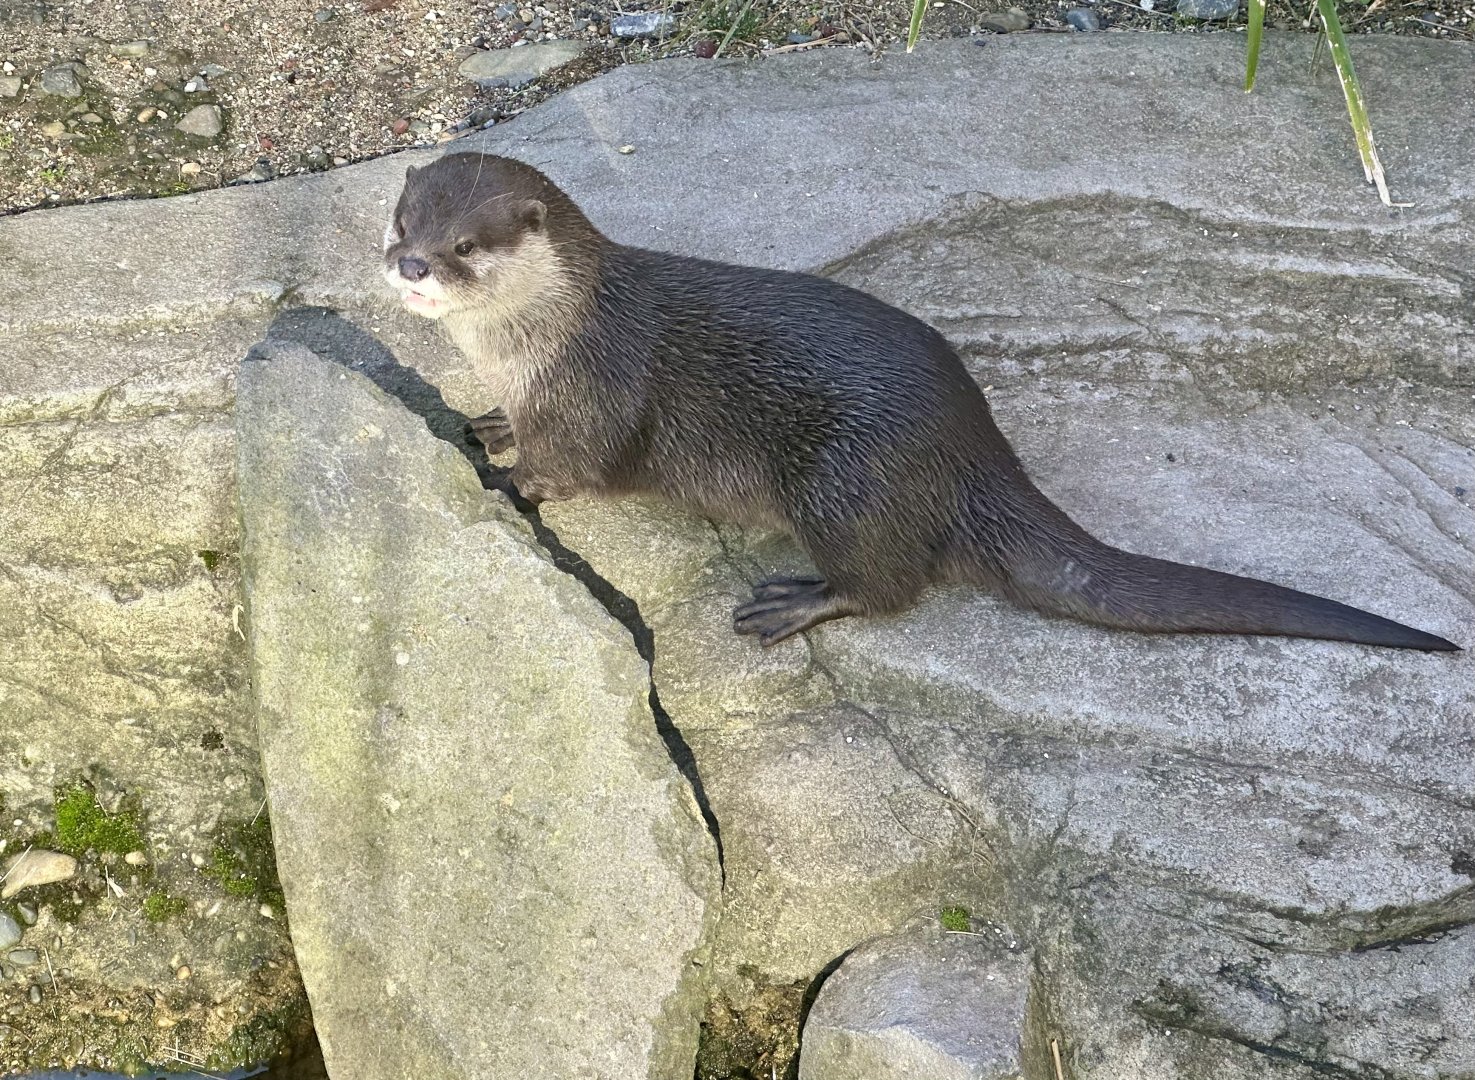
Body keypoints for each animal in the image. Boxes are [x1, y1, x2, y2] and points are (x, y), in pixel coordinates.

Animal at [381, 152, 1458, 653]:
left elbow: (568, 469)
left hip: (844, 481)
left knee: (890, 585)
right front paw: (485, 423)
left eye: (466, 245)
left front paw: (503, 482)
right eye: (402, 219)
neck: (544, 339)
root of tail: (974, 449)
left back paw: (795, 603)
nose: (408, 264)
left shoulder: (595, 393)